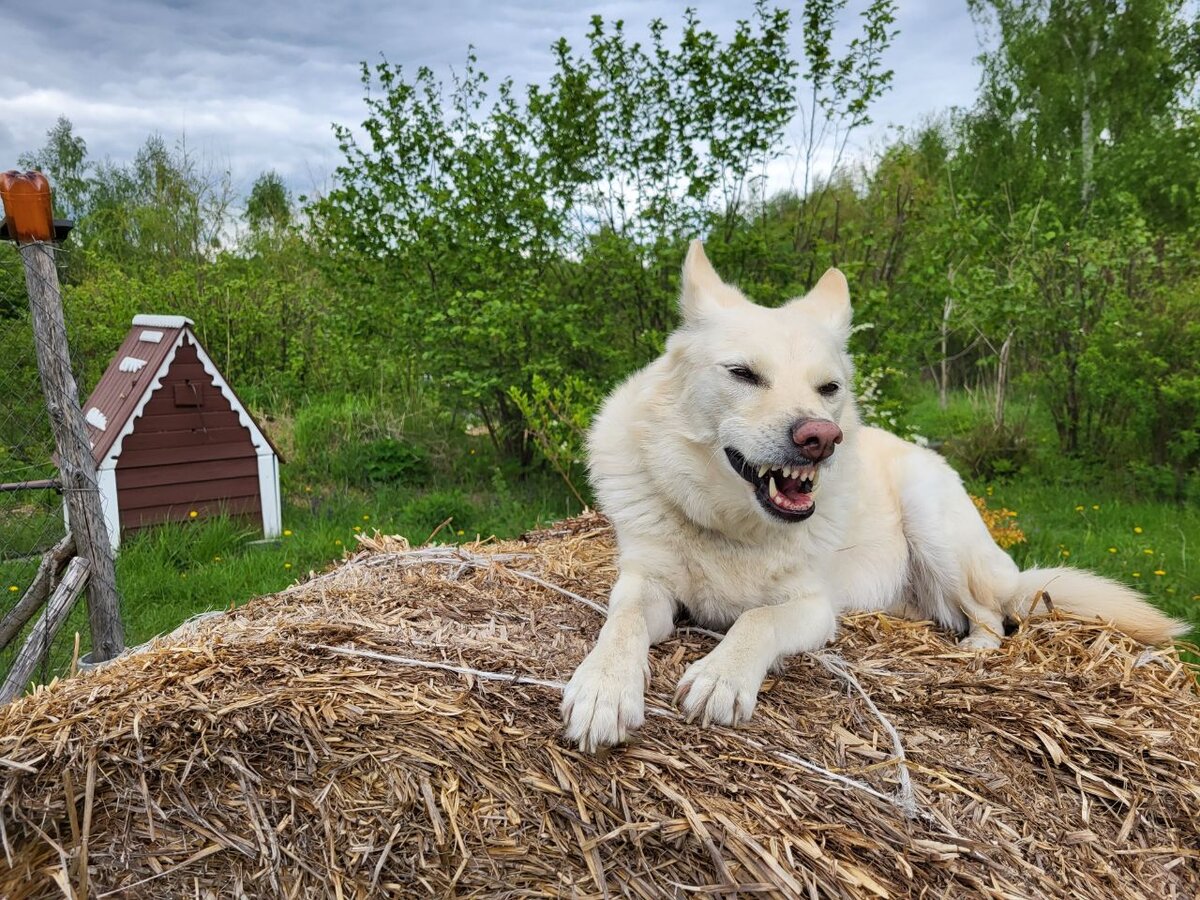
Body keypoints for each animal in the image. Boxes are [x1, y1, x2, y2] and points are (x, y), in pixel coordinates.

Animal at [564, 240, 1190, 753]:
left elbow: (756, 622)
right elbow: (621, 624)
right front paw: (603, 689)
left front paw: (723, 676)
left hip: (931, 519)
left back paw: (972, 653)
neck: (733, 528)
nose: (820, 438)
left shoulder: (812, 609)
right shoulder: (645, 584)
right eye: (742, 374)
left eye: (829, 388)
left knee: (994, 616)